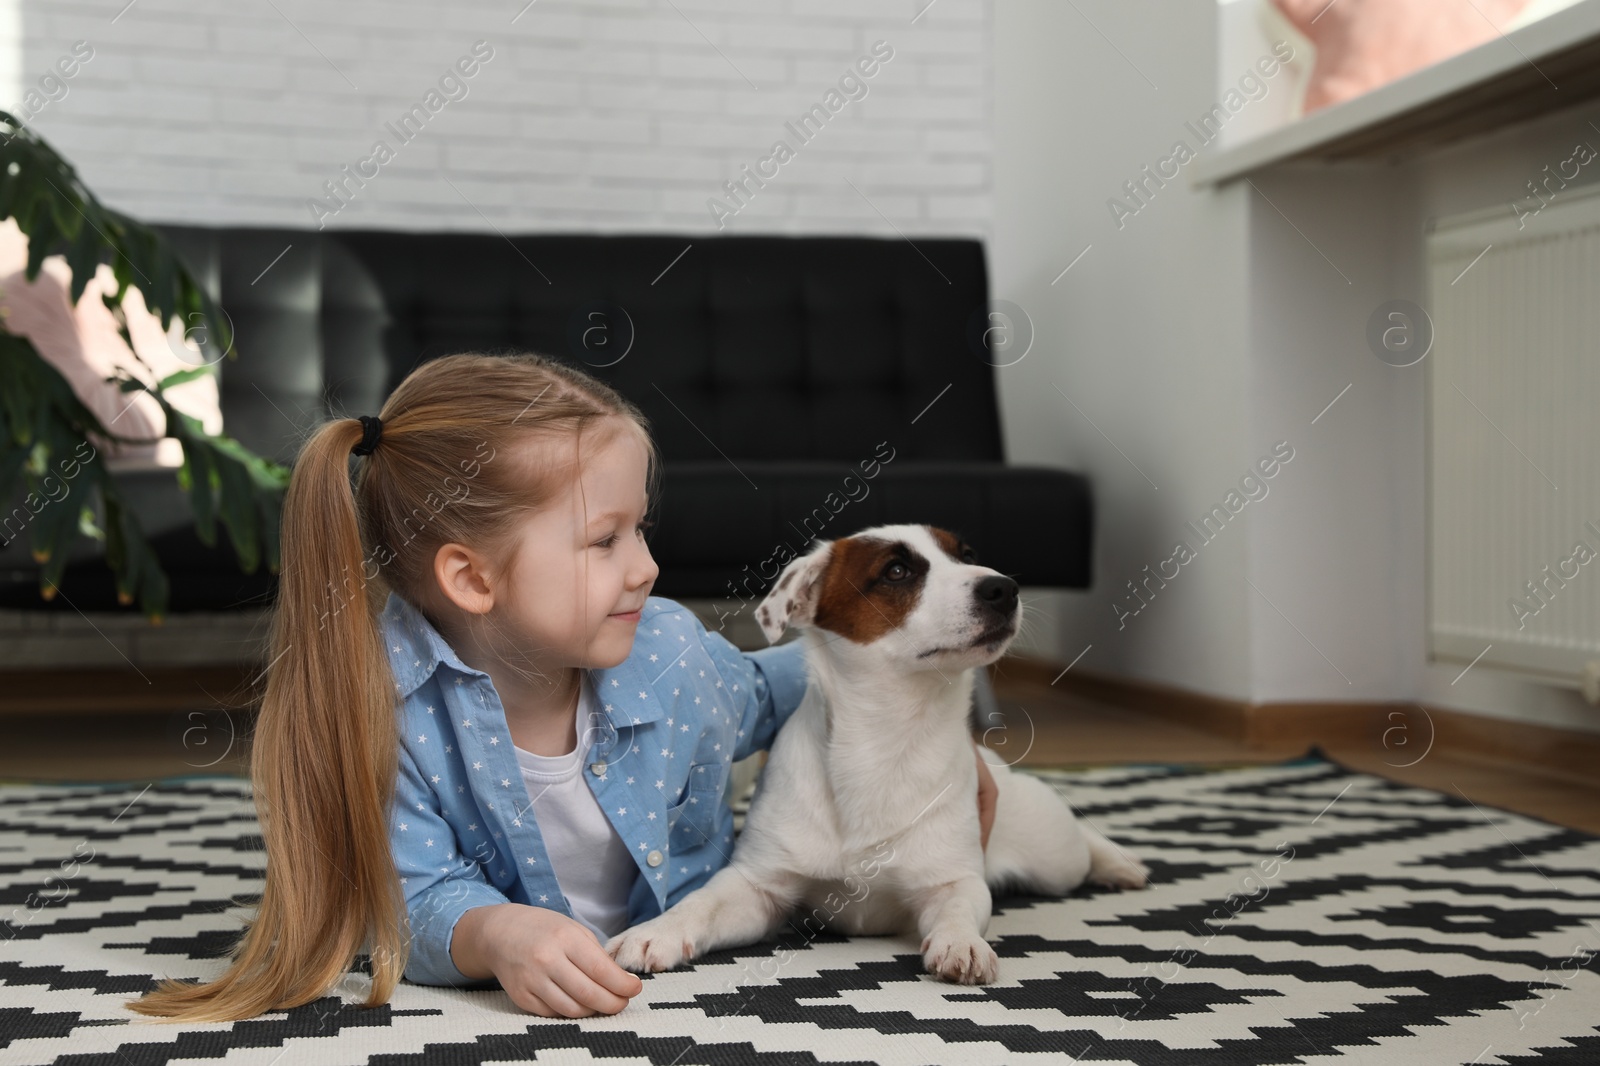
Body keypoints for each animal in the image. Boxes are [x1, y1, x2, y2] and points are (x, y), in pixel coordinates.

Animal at [601, 521, 1152, 979]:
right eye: (897, 570)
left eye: (968, 555)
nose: (1003, 587)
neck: (885, 743)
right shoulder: (759, 887)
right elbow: (701, 904)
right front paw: (655, 931)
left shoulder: (954, 881)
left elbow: (957, 909)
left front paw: (962, 943)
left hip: (1053, 855)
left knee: (1081, 839)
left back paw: (1119, 862)